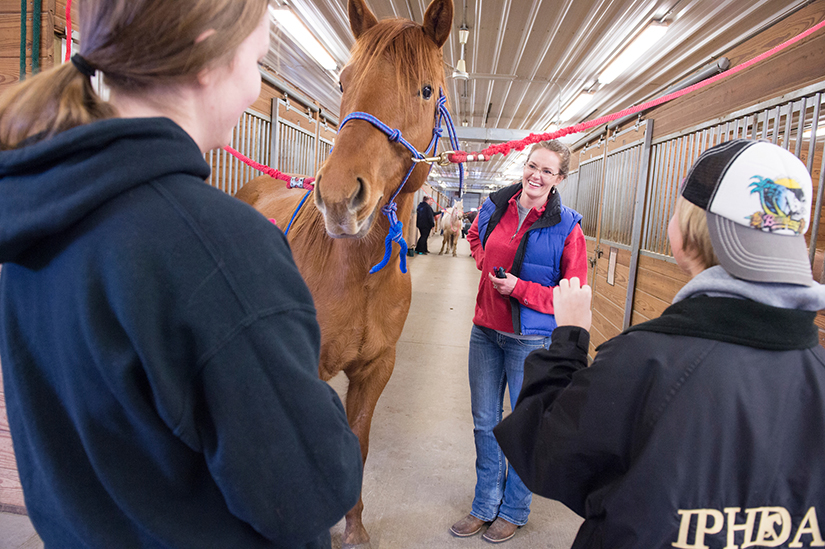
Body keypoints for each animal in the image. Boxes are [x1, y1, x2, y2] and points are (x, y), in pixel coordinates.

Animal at [232, 0, 454, 544]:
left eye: (426, 90)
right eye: (342, 82)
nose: (337, 196)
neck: (358, 275)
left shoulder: (376, 369)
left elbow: (358, 443)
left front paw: (353, 529)